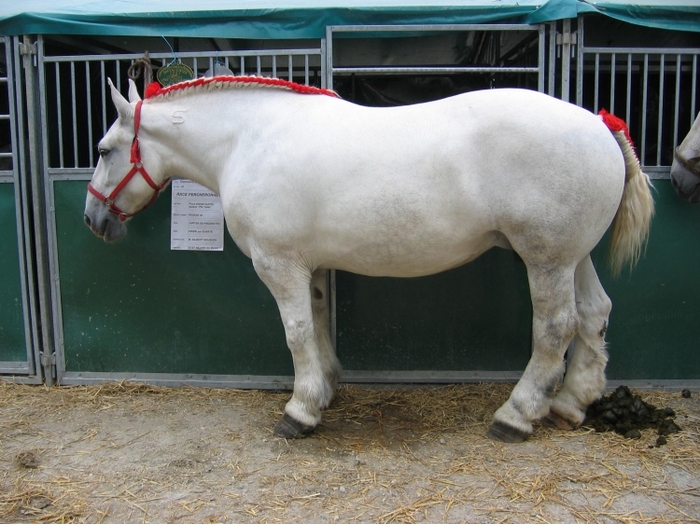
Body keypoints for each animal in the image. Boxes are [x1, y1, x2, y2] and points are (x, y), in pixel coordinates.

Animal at [85, 77, 652, 442]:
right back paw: (571, 403)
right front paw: (324, 390)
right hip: (574, 257)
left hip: (546, 259)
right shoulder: (309, 266)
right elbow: (316, 325)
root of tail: (597, 123)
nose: (94, 218)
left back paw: (516, 415)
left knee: (555, 327)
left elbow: (296, 333)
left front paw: (300, 411)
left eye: (105, 149)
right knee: (594, 315)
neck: (248, 140)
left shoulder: (278, 264)